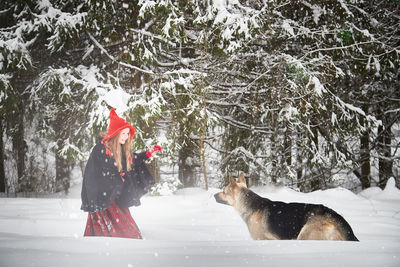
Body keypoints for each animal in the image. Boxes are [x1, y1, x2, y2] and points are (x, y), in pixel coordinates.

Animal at [216, 173, 360, 242]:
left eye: (223, 191)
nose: (213, 195)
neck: (250, 205)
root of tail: (335, 216)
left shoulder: (263, 239)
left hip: (305, 234)